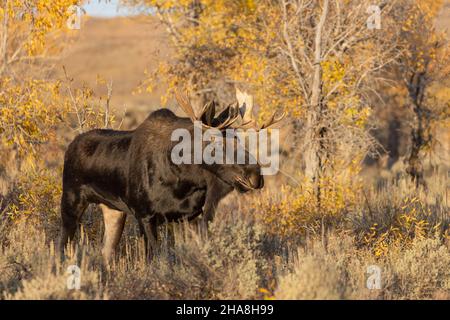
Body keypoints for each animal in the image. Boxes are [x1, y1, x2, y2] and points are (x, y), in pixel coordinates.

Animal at [58, 88, 284, 262]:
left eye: (237, 138)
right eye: (214, 141)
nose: (256, 176)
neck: (185, 181)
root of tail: (70, 147)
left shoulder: (190, 217)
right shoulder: (145, 215)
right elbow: (154, 258)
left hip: (113, 210)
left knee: (106, 252)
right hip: (71, 202)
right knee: (63, 246)